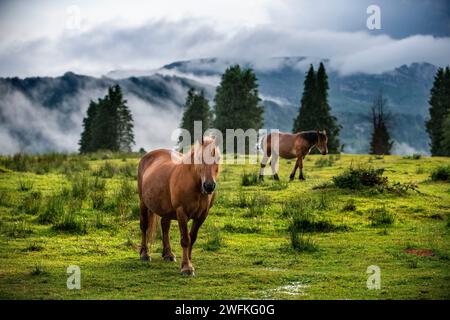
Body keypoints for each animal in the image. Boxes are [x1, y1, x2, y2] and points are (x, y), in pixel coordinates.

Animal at [138, 138, 221, 276]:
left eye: (218, 158)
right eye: (200, 158)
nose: (209, 186)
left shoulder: (202, 215)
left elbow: (192, 237)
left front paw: (188, 260)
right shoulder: (182, 212)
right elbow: (185, 239)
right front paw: (187, 267)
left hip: (165, 209)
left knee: (165, 226)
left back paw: (168, 254)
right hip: (143, 203)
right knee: (144, 226)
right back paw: (145, 254)